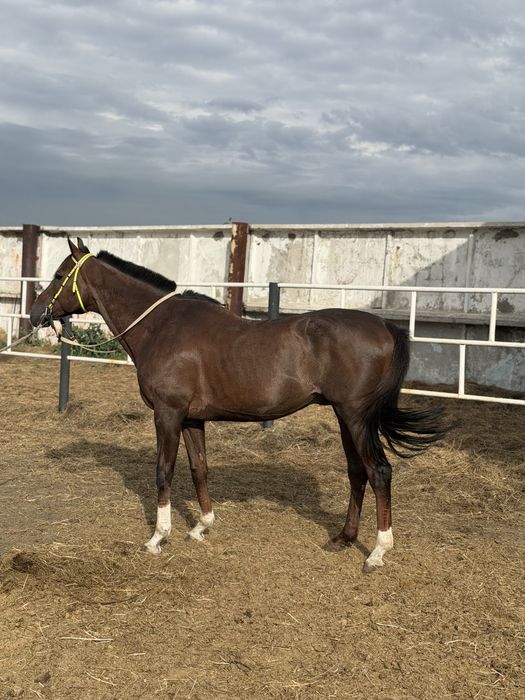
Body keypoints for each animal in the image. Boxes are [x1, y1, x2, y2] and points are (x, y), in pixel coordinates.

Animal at [30, 238, 444, 572]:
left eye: (59, 274)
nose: (36, 314)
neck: (161, 327)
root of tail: (385, 326)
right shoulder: (191, 420)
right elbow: (199, 469)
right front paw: (201, 527)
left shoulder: (167, 414)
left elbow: (164, 471)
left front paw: (158, 537)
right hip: (346, 418)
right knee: (357, 473)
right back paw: (343, 537)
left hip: (357, 417)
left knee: (379, 472)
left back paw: (377, 552)